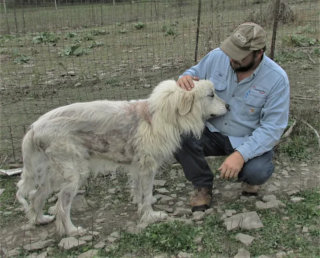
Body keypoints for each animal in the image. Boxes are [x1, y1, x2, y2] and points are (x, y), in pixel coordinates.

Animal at [16, 79, 228, 237]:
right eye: (211, 95)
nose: (228, 105)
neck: (161, 114)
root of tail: (35, 126)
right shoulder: (148, 167)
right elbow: (147, 195)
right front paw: (150, 216)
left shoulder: (138, 167)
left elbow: (139, 191)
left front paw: (140, 206)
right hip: (75, 174)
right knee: (61, 207)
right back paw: (72, 231)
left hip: (54, 174)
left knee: (36, 196)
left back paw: (40, 219)